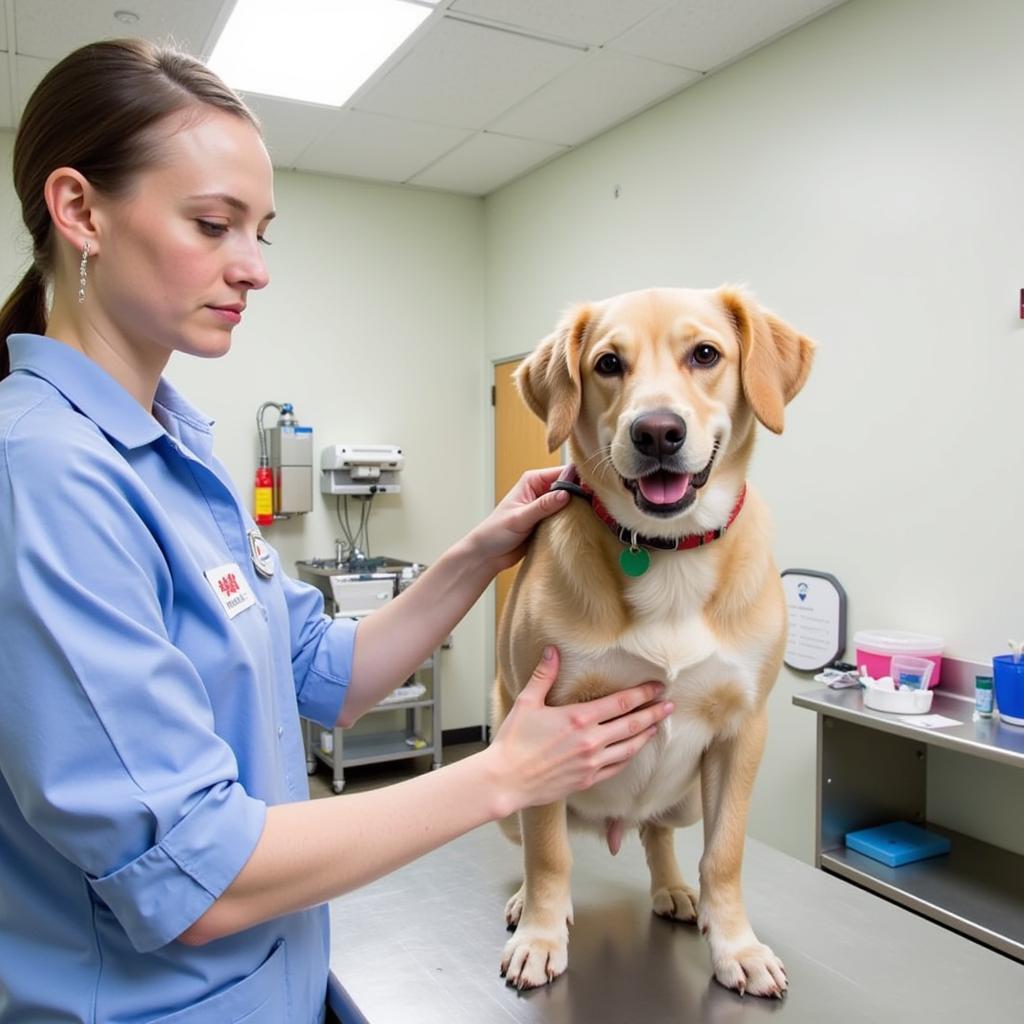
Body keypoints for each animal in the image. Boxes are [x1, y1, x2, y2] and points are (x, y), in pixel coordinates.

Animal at [491, 284, 811, 995]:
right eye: (608, 364)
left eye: (706, 354)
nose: (658, 431)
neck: (667, 553)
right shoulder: (544, 727)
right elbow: (549, 854)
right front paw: (541, 934)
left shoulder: (743, 732)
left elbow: (725, 856)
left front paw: (736, 946)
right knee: (535, 841)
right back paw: (528, 901)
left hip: (687, 799)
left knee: (656, 834)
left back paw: (673, 889)